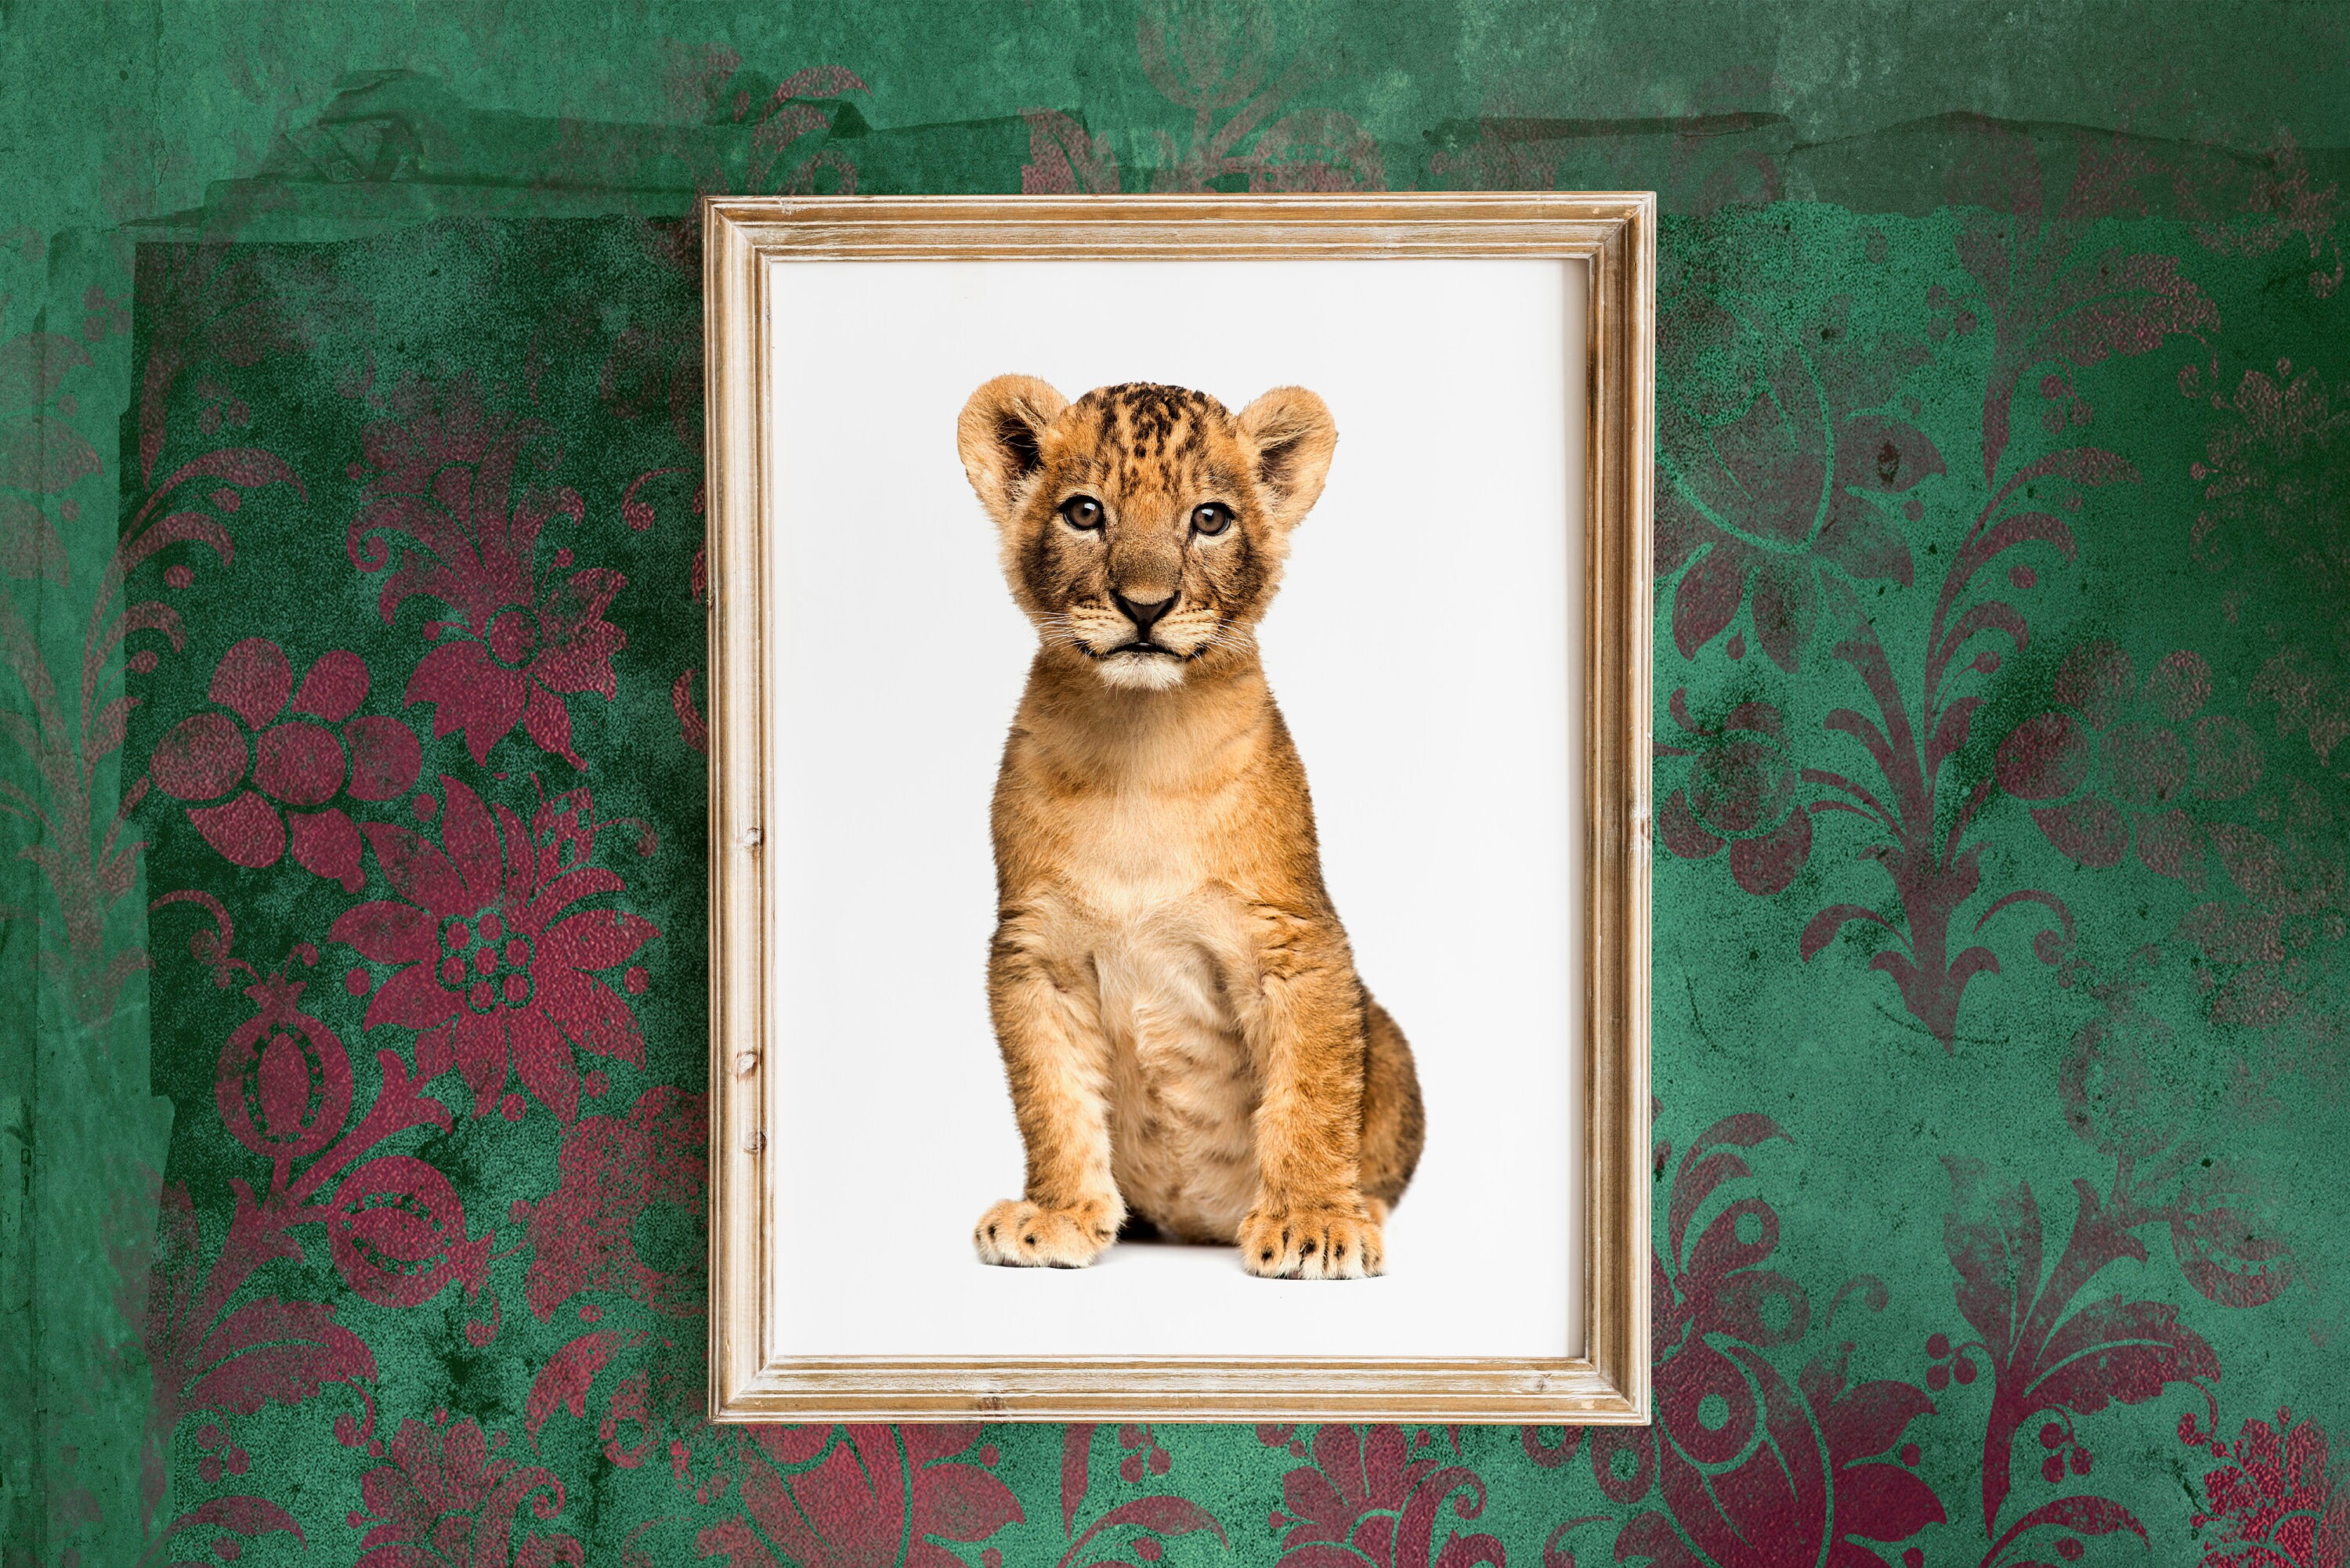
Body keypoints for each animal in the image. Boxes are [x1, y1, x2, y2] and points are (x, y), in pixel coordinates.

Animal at [955, 376, 1423, 1280]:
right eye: (1085, 512)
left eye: (1209, 518)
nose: (1146, 607)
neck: (1139, 748)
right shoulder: (1033, 951)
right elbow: (1051, 1097)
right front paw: (1056, 1215)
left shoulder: (1296, 940)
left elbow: (1313, 1092)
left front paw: (1313, 1223)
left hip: (1386, 1035)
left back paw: (1361, 1212)